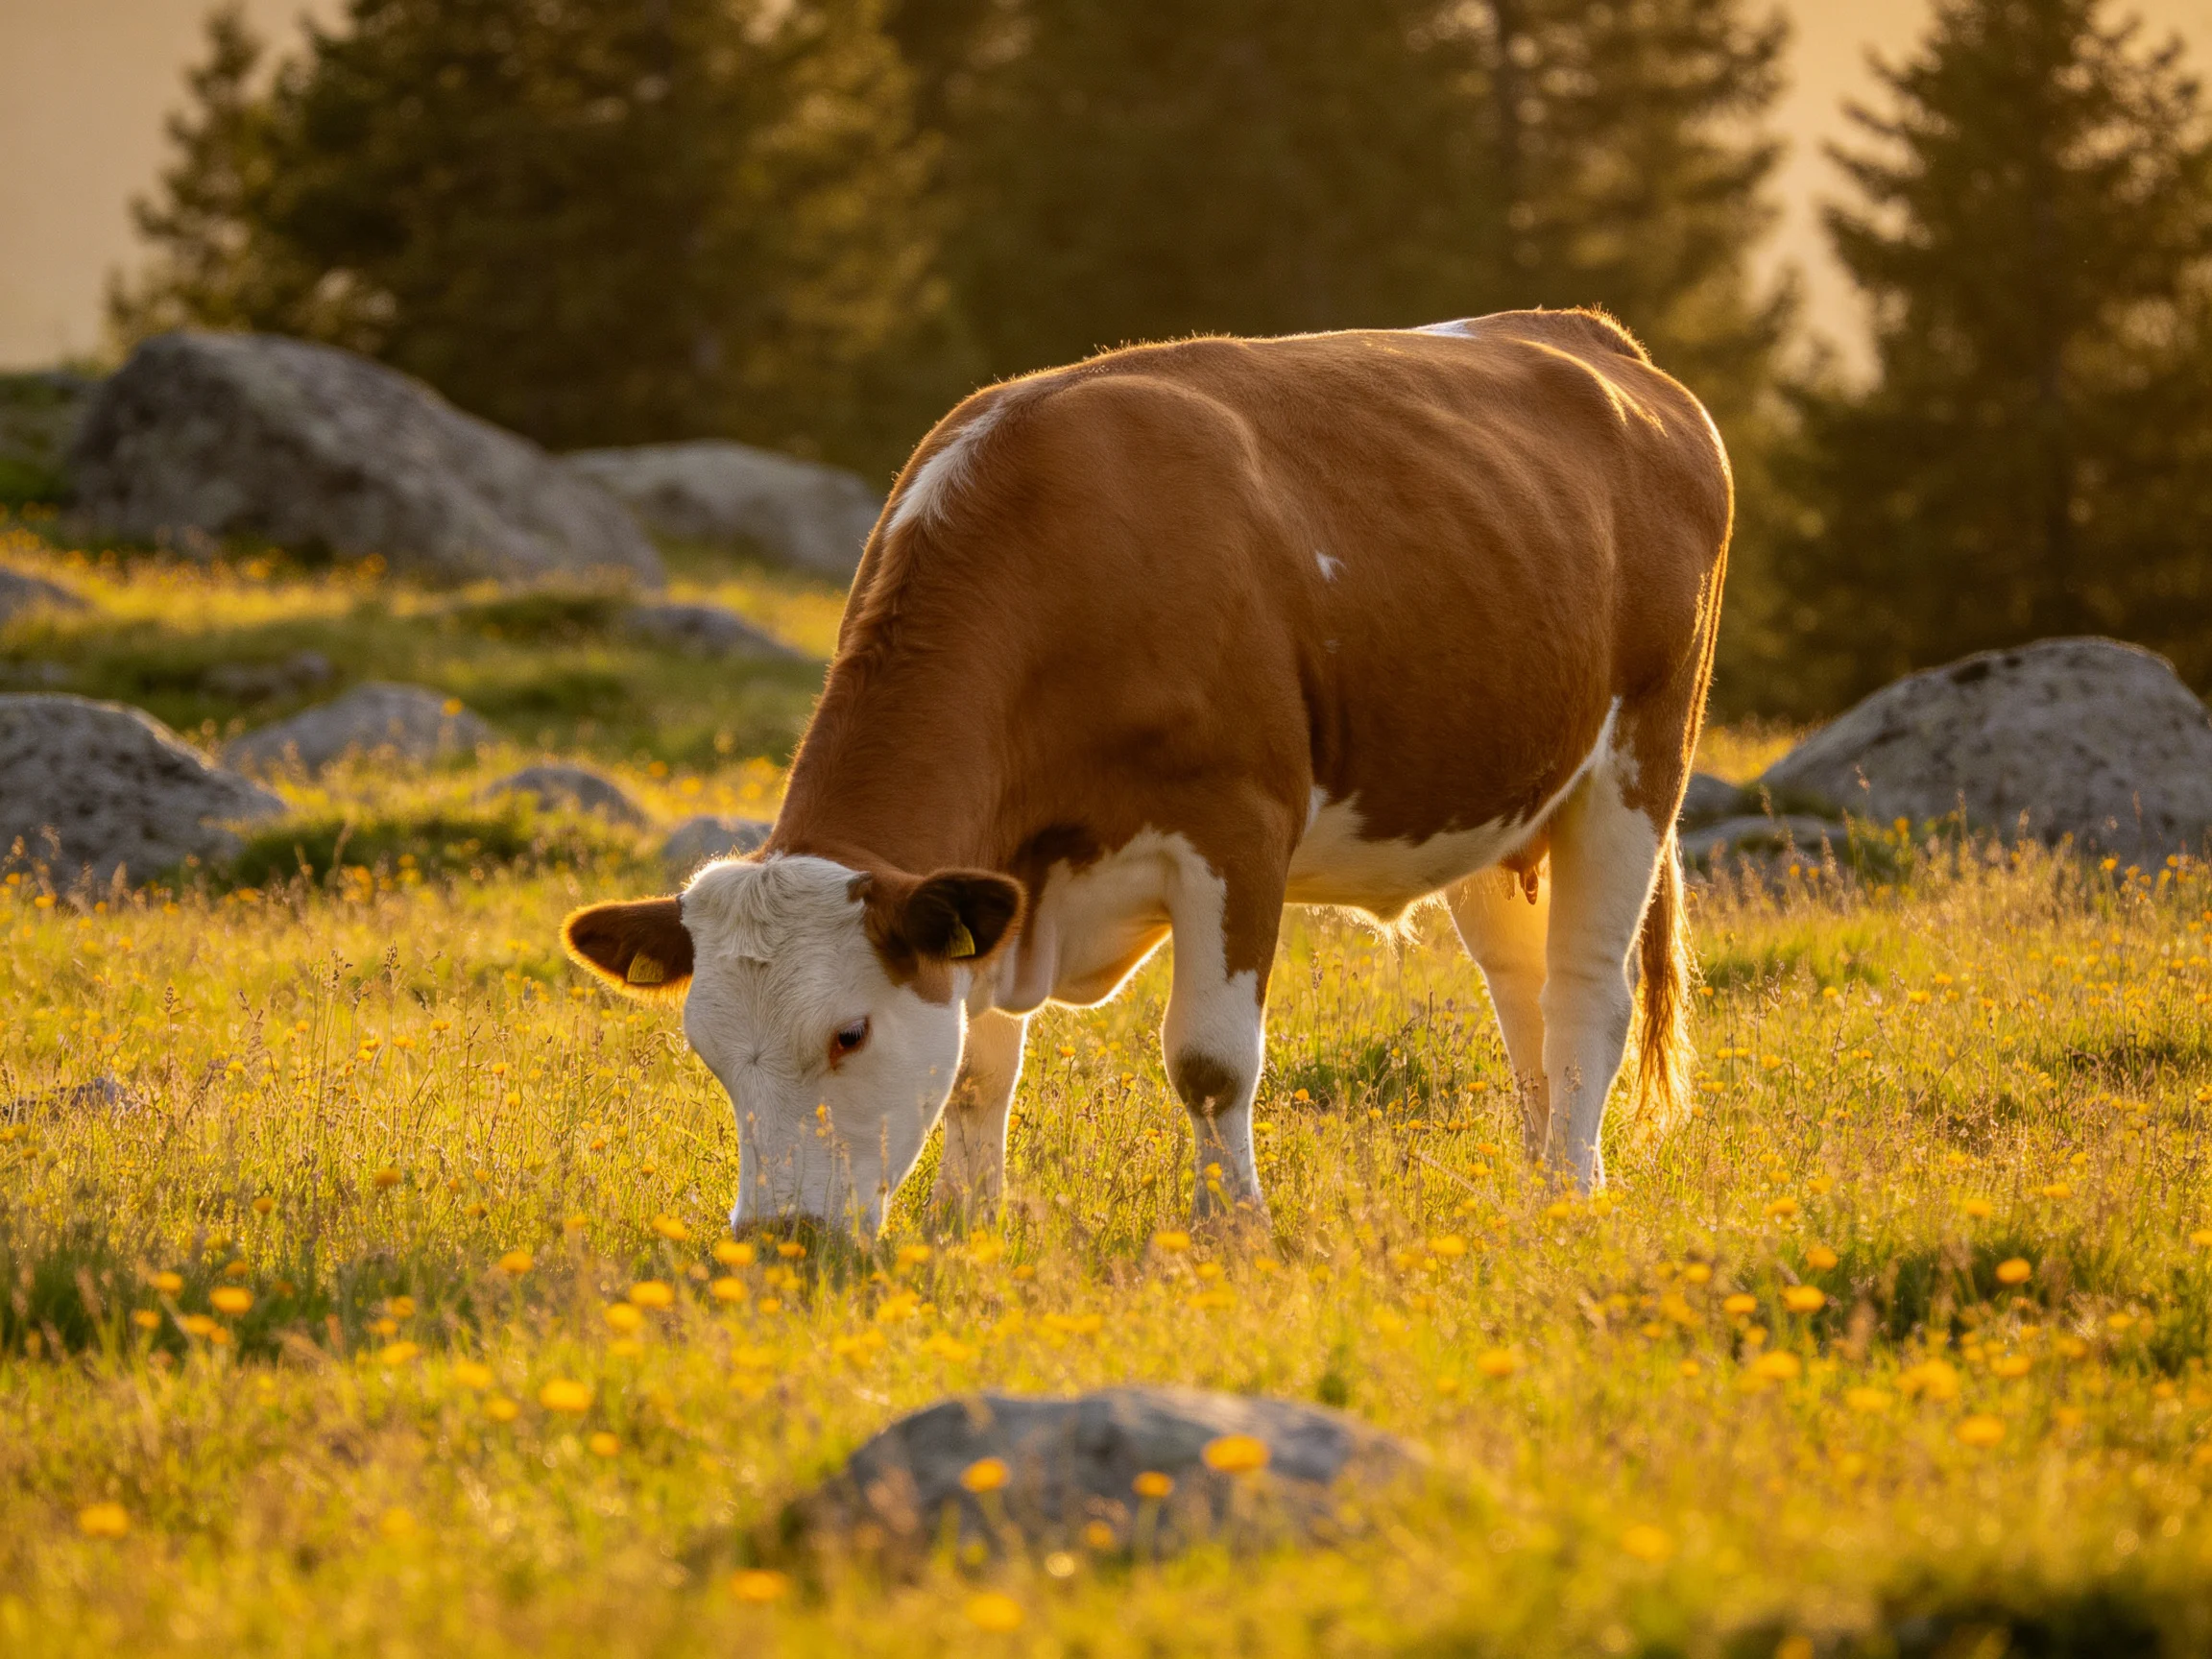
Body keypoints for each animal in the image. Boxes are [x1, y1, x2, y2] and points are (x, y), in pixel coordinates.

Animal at [563, 308, 1730, 1237]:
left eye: (848, 1033)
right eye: (710, 1051)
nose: (779, 1237)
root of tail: (1589, 337)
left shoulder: (1237, 829)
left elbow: (1209, 1063)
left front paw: (1234, 1229)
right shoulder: (996, 883)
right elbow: (976, 1070)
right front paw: (963, 1223)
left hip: (1639, 761)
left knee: (1588, 993)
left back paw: (1572, 1193)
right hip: (1502, 799)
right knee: (1521, 994)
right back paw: (1537, 1173)